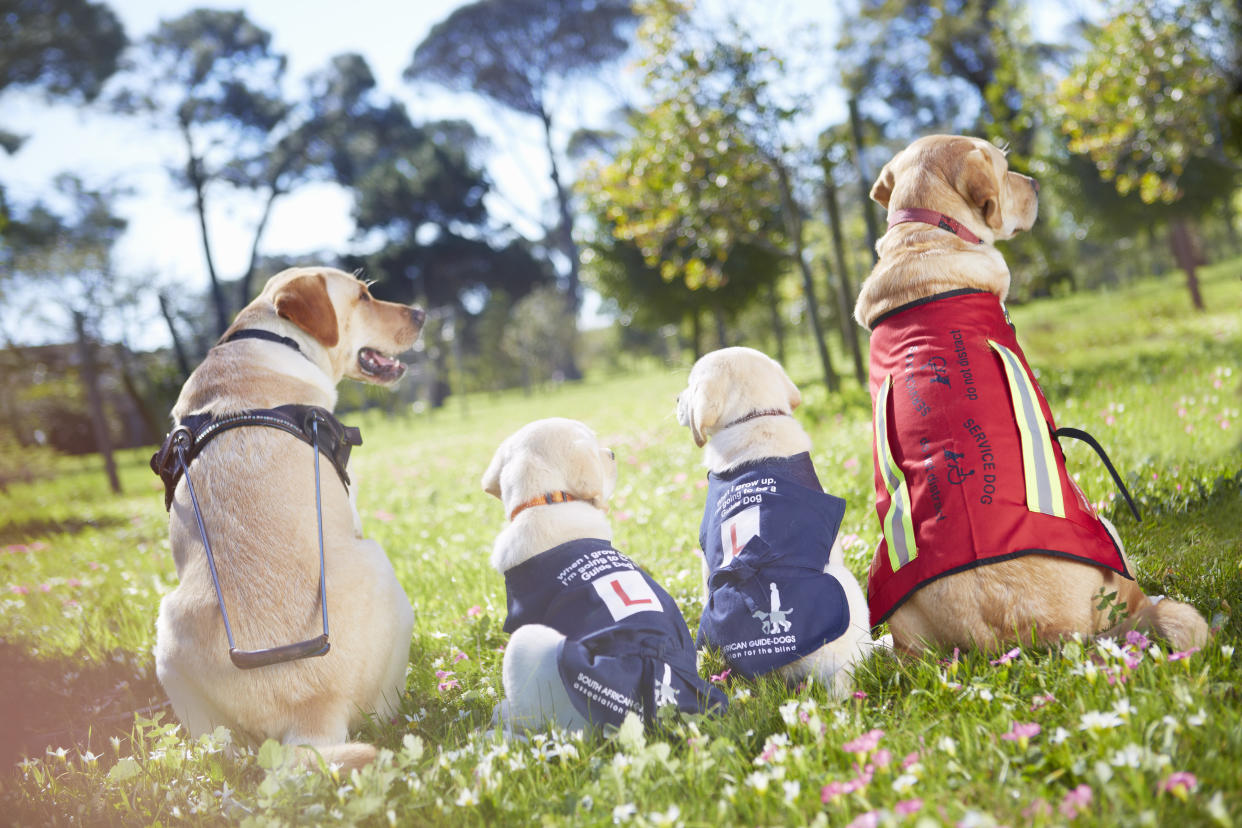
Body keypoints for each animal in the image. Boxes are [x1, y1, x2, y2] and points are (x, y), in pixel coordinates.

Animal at [149, 265, 422, 769]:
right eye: (363, 296)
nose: (421, 313)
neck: (273, 339)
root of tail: (309, 714)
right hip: (381, 566)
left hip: (166, 639)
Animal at [854, 135, 1202, 655]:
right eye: (1004, 169)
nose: (1036, 182)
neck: (924, 233)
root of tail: (1029, 640)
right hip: (1109, 534)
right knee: (1144, 602)